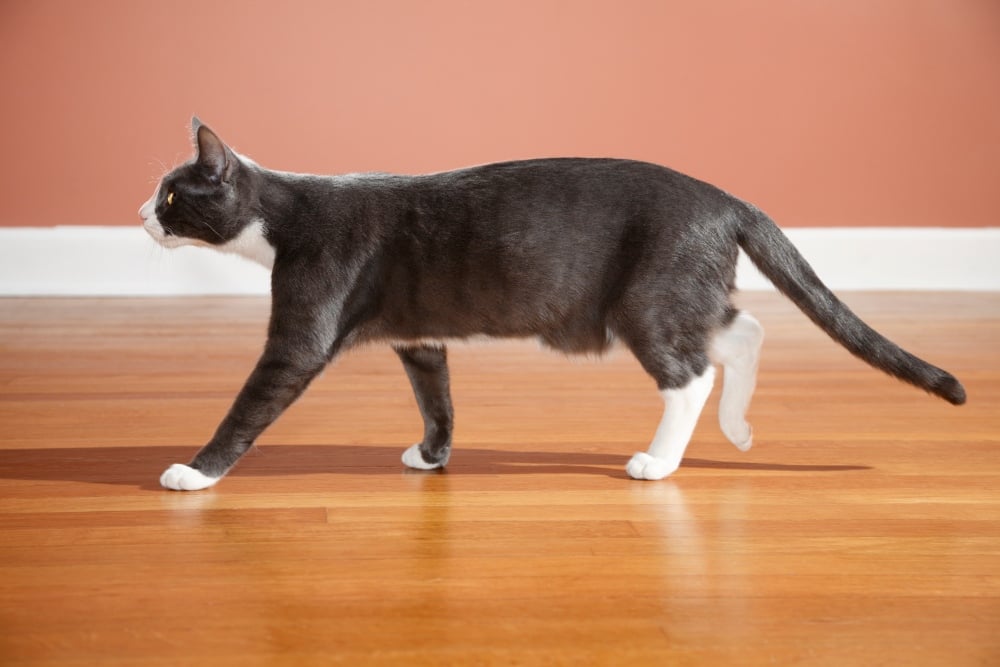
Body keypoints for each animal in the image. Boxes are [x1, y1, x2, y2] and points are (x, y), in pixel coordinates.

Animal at [137, 117, 964, 490]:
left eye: (173, 193)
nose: (140, 212)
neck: (285, 215)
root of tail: (727, 200)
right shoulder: (420, 337)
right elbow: (437, 397)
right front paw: (433, 456)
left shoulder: (301, 334)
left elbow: (250, 403)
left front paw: (196, 473)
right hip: (680, 291)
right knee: (742, 329)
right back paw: (738, 428)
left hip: (641, 301)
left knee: (692, 371)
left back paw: (660, 461)